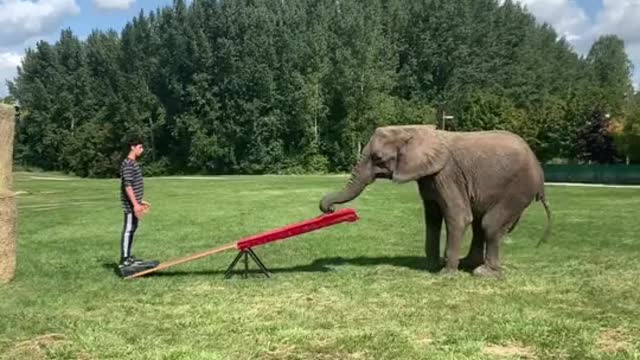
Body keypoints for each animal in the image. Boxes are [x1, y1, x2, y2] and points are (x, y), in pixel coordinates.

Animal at [320, 125, 552, 278]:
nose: (329, 209)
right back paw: (468, 264)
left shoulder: (446, 174)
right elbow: (431, 217)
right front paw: (431, 266)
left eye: (378, 158)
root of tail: (540, 172)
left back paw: (483, 272)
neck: (412, 130)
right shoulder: (429, 177)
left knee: (489, 224)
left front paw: (445, 275)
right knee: (480, 224)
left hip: (517, 189)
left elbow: (458, 216)